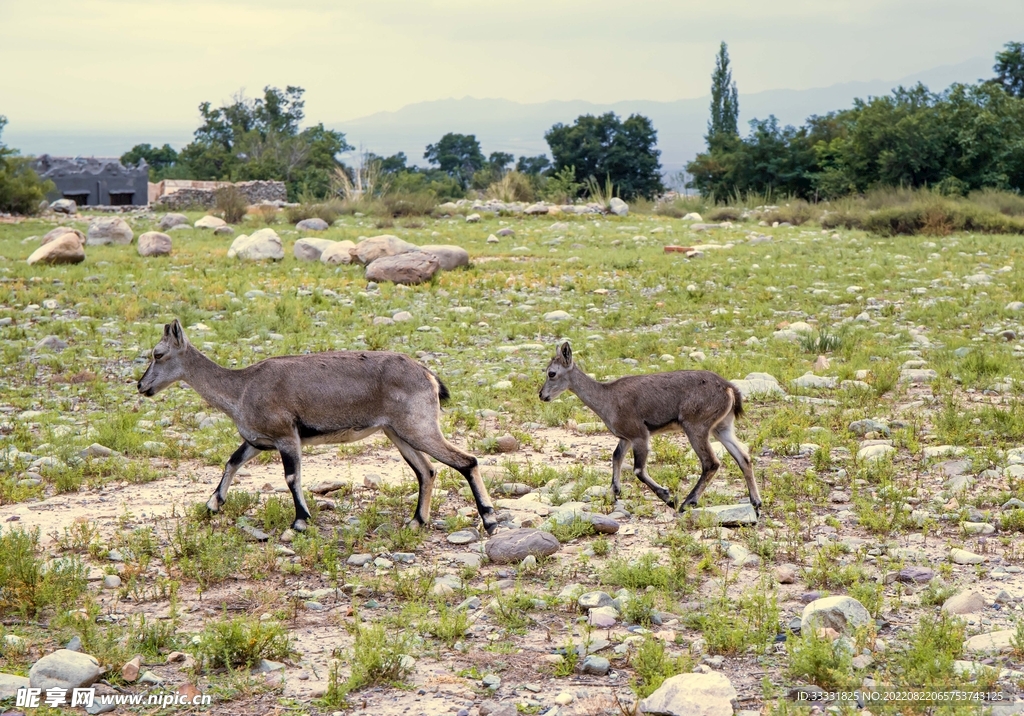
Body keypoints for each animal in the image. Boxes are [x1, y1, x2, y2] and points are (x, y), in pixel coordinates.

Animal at [138, 319, 501, 535]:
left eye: (158, 353)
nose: (142, 386)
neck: (241, 388)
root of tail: (427, 374)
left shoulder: (287, 436)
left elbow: (291, 477)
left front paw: (299, 522)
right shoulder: (257, 441)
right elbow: (232, 462)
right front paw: (213, 505)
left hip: (419, 427)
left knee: (467, 461)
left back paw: (490, 519)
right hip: (397, 433)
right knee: (426, 471)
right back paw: (415, 521)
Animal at [538, 342, 760, 515]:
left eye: (552, 373)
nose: (542, 395)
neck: (607, 399)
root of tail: (729, 389)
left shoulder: (639, 434)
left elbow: (638, 469)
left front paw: (669, 497)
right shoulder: (625, 437)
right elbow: (616, 456)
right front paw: (614, 493)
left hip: (696, 426)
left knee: (711, 462)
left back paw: (687, 503)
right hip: (721, 427)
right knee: (743, 457)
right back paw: (756, 503)